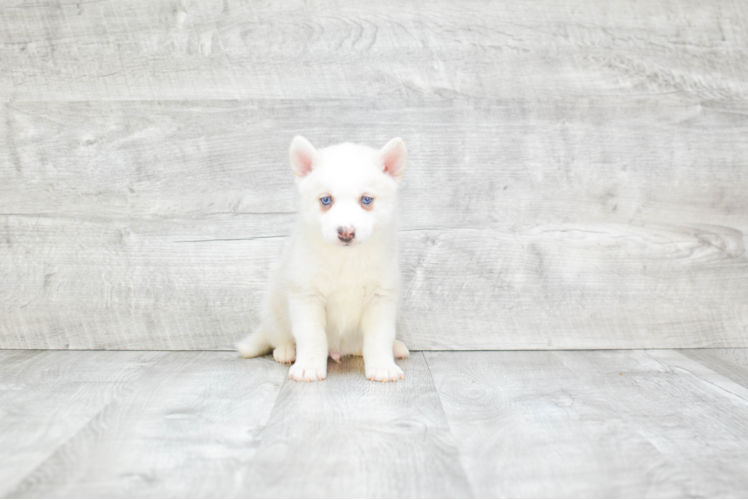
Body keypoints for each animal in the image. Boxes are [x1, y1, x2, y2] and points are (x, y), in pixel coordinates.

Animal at [237, 136, 410, 382]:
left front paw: (382, 367)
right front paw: (308, 366)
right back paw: (286, 350)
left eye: (366, 199)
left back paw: (395, 347)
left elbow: (379, 336)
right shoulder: (306, 297)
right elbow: (311, 336)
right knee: (279, 336)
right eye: (326, 200)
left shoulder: (381, 298)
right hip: (272, 311)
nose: (346, 232)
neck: (345, 259)